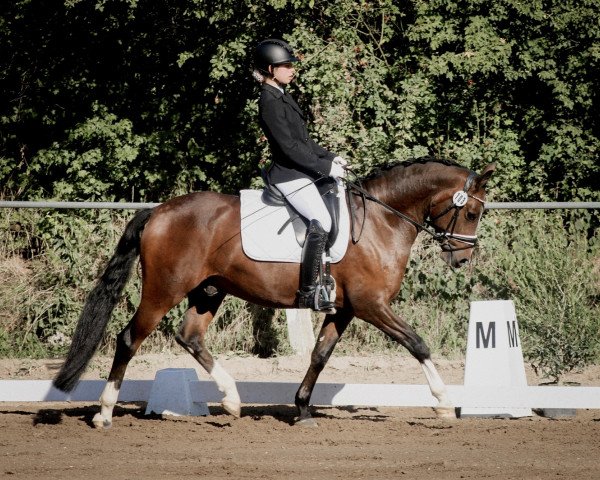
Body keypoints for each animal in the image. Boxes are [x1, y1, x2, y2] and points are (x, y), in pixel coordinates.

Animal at [55, 158, 496, 428]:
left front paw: (301, 408)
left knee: (190, 336)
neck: (380, 221)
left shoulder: (345, 308)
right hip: (164, 289)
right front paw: (444, 402)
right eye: (472, 213)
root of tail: (158, 211)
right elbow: (417, 343)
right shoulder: (372, 305)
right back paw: (105, 414)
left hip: (208, 290)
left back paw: (232, 400)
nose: (462, 260)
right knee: (129, 338)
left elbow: (320, 355)